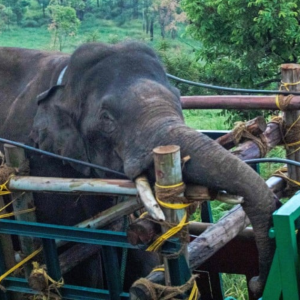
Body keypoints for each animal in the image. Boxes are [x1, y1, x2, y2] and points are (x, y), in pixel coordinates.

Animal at [0, 42, 276, 298]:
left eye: (179, 98)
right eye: (106, 119)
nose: (256, 282)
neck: (63, 81)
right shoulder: (42, 163)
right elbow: (76, 257)